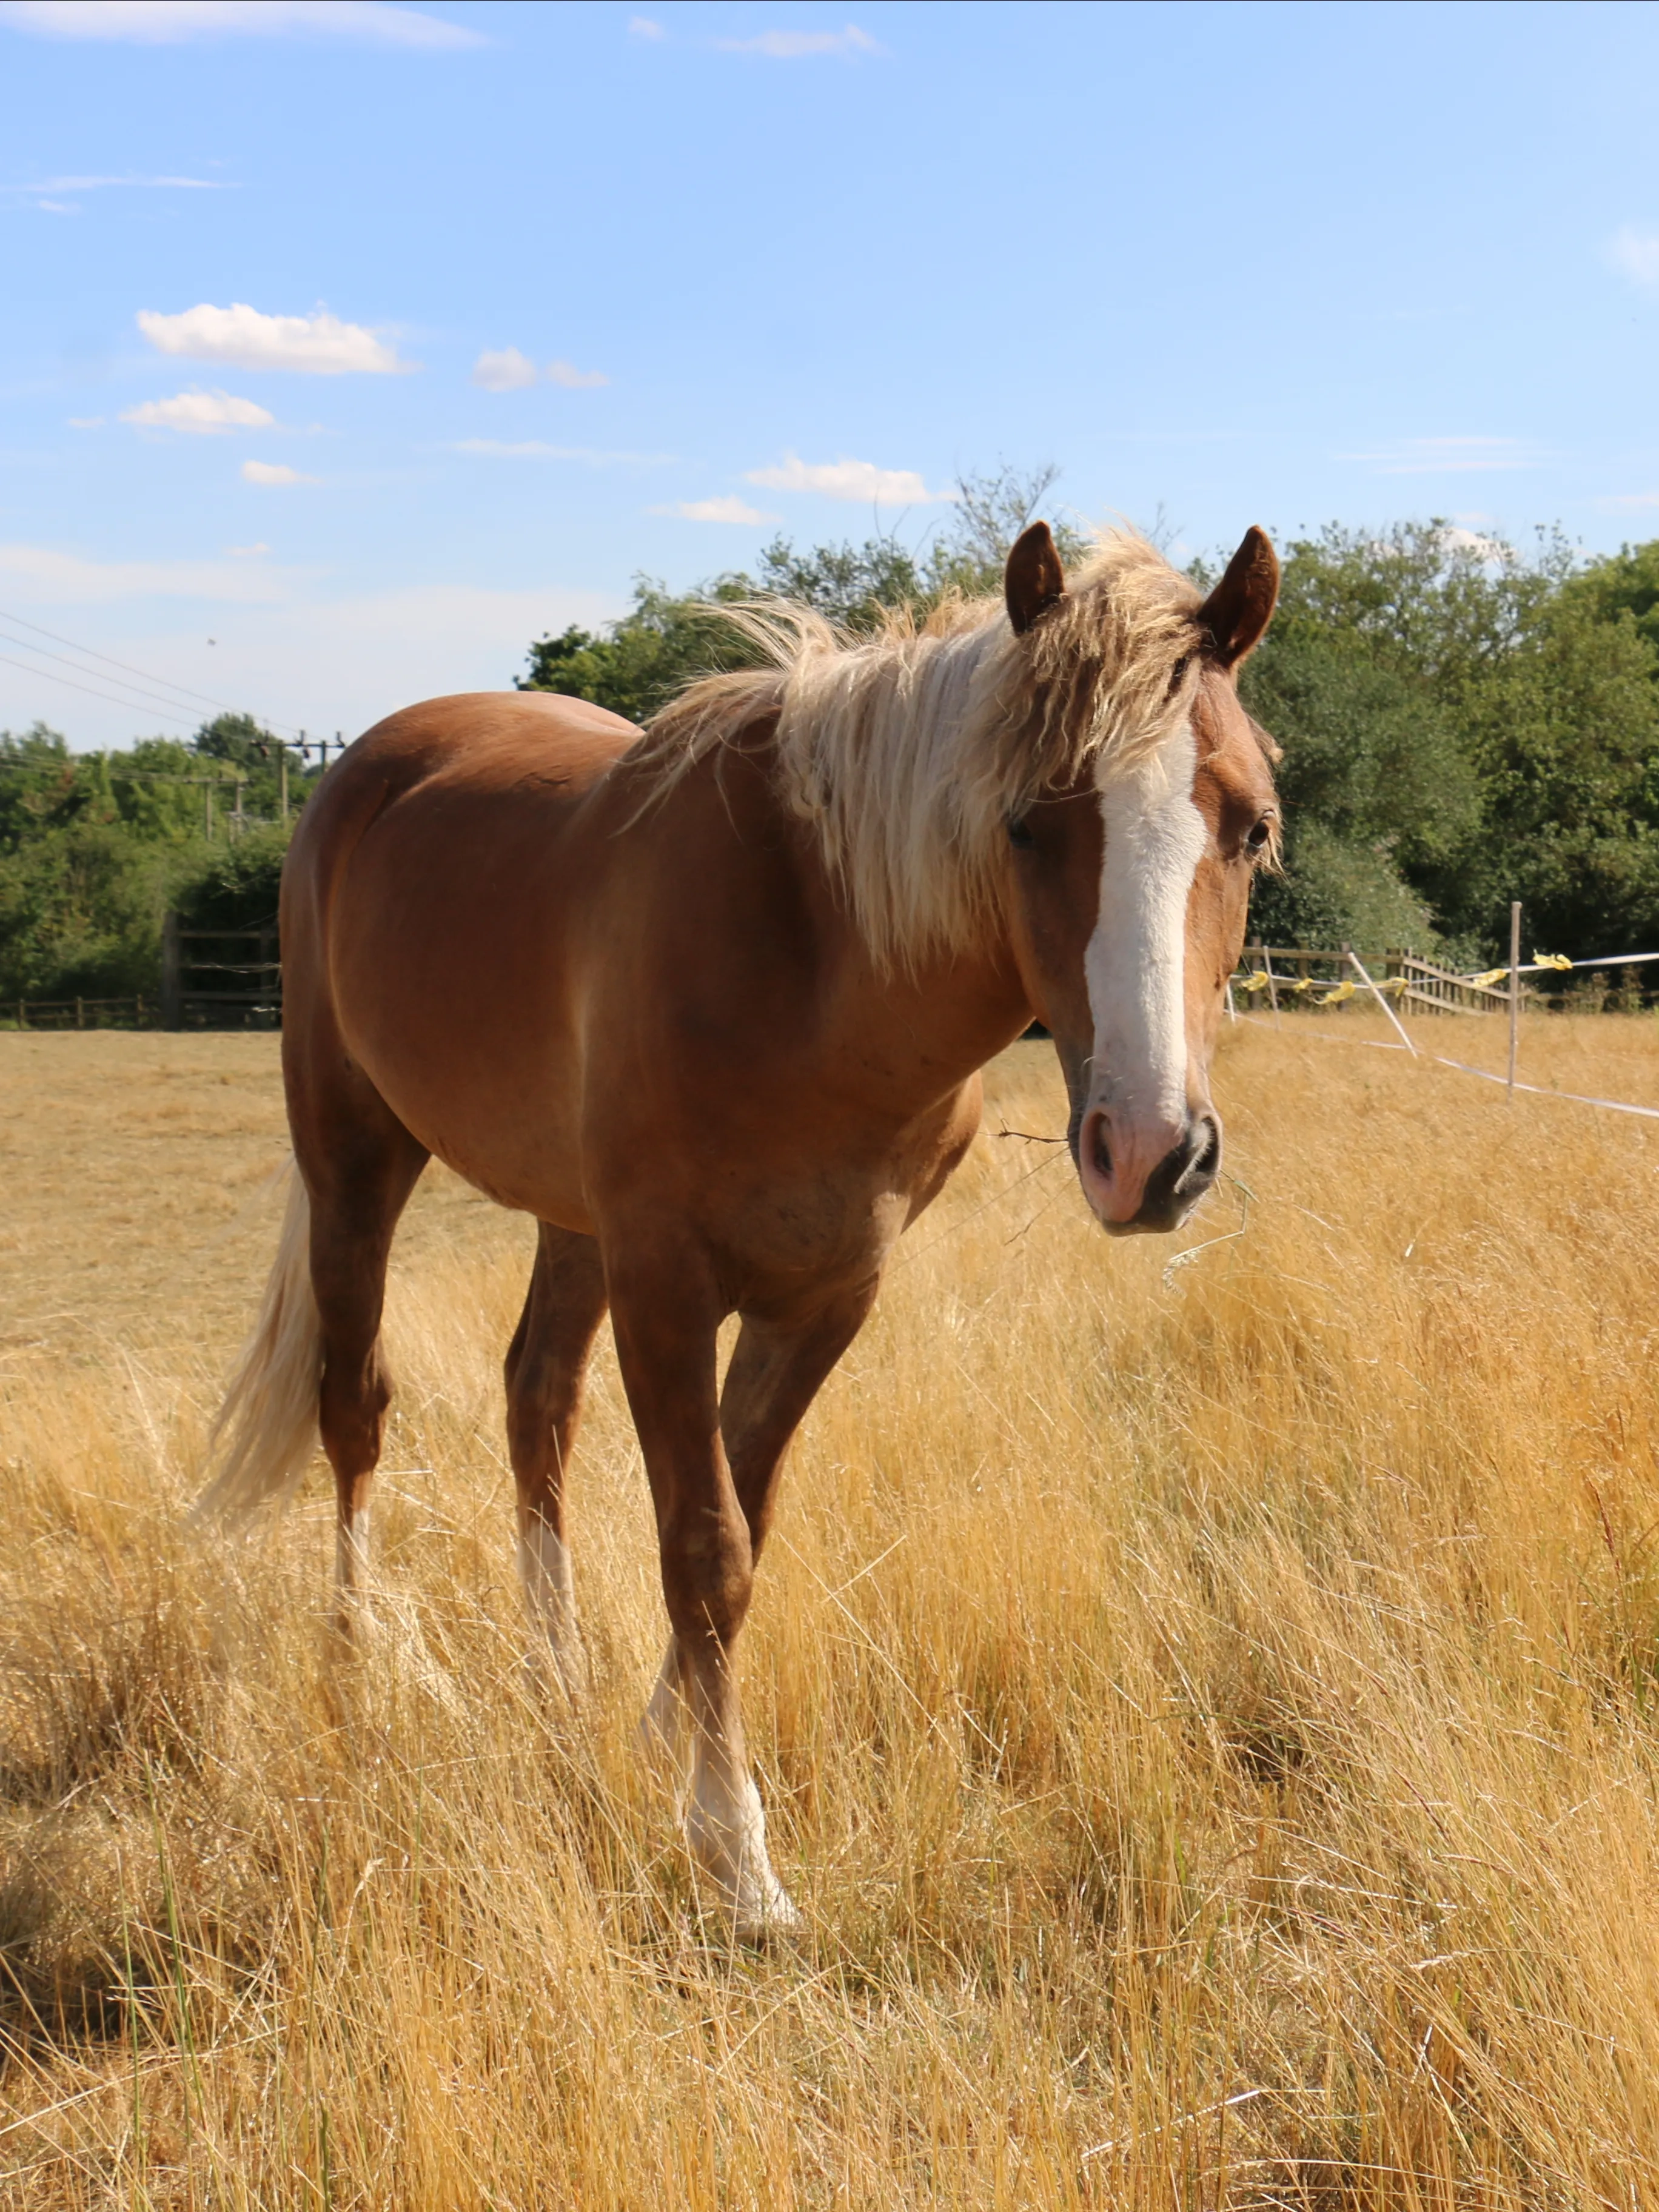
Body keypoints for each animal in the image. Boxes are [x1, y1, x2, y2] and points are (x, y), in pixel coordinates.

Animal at [197, 520, 1281, 1939]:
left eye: (1250, 826)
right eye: (1026, 822)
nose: (1152, 1155)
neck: (817, 958)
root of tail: (368, 765)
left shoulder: (828, 1290)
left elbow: (740, 1522)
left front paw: (657, 1741)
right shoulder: (667, 1279)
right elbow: (704, 1548)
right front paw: (736, 1857)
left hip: (570, 1222)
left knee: (535, 1403)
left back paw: (552, 1674)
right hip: (355, 1157)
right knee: (354, 1404)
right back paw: (360, 1657)